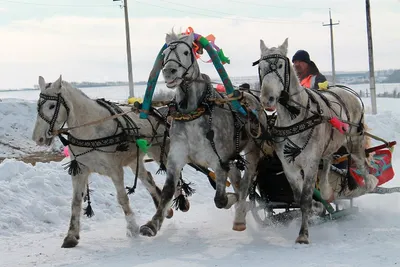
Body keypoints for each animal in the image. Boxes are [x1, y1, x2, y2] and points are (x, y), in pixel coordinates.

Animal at [30, 75, 178, 249]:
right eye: (38, 105)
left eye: (52, 105)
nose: (38, 138)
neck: (91, 131)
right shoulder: (80, 170)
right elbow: (76, 202)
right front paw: (71, 235)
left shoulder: (115, 169)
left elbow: (122, 198)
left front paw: (132, 227)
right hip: (134, 160)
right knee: (147, 179)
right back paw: (164, 209)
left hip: (159, 151)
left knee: (173, 178)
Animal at [255, 38, 376, 245]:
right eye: (261, 67)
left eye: (280, 65)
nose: (267, 99)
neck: (295, 116)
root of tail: (346, 92)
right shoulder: (289, 166)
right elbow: (299, 197)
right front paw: (317, 207)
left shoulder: (310, 163)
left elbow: (304, 199)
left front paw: (303, 234)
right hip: (329, 147)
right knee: (327, 164)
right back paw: (327, 193)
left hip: (354, 143)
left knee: (362, 166)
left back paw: (367, 184)